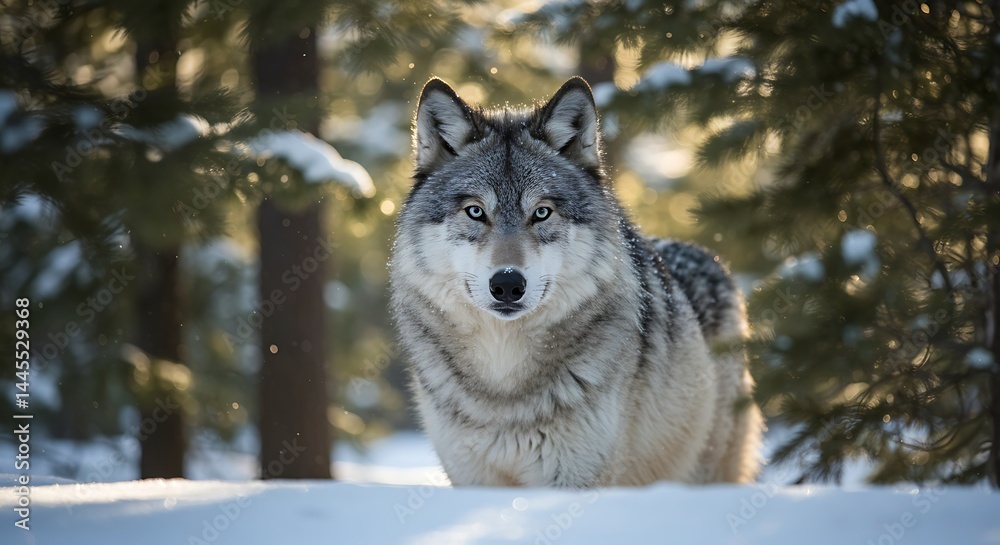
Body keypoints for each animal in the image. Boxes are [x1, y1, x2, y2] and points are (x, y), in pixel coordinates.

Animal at [389, 77, 762, 487]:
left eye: (541, 213)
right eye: (475, 211)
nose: (507, 285)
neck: (503, 380)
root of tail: (709, 258)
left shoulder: (574, 478)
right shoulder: (470, 477)